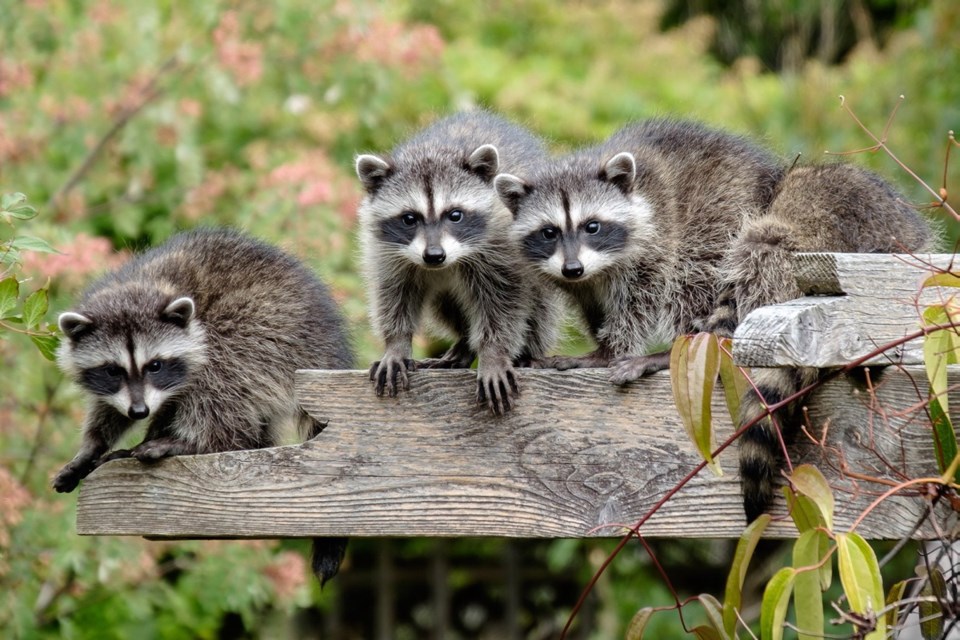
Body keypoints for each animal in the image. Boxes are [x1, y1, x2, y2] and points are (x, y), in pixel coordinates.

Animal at [53, 228, 352, 584]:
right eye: (113, 370)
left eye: (155, 365)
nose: (139, 412)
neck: (145, 285)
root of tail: (327, 349)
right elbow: (110, 409)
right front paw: (92, 447)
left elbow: (208, 381)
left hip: (273, 331)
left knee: (222, 371)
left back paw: (200, 441)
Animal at [356, 111, 560, 416]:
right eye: (409, 218)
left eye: (455, 215)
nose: (434, 255)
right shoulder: (386, 251)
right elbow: (393, 293)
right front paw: (396, 343)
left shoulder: (502, 250)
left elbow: (504, 302)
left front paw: (493, 353)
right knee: (444, 305)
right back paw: (464, 342)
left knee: (539, 307)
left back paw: (526, 352)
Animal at [498, 121, 932, 524]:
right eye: (549, 232)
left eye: (592, 225)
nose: (572, 267)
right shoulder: (580, 281)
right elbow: (591, 303)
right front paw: (599, 337)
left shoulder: (660, 228)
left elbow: (645, 290)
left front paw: (612, 349)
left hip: (744, 218)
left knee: (709, 271)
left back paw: (684, 343)